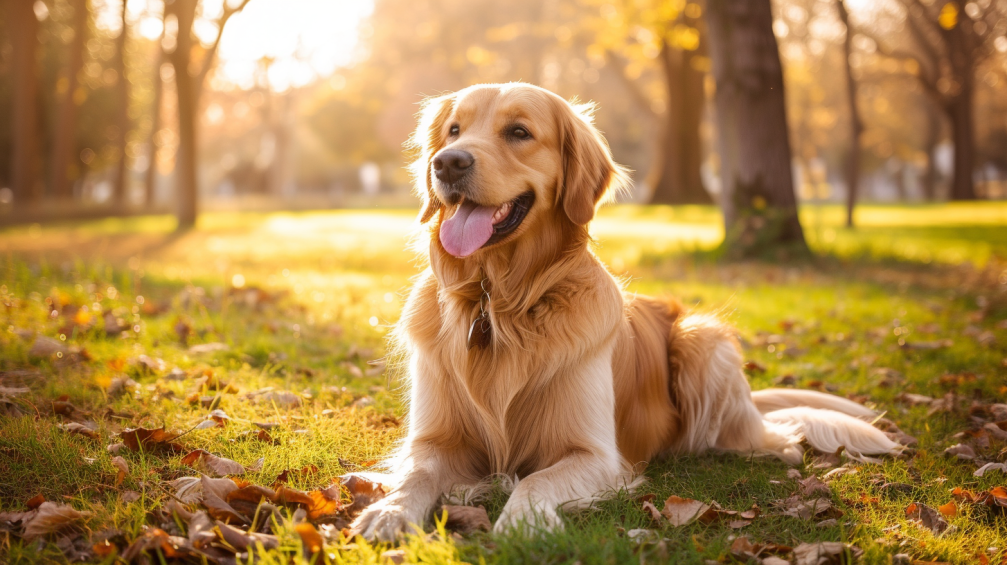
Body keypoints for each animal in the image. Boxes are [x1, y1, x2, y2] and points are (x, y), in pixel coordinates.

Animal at [350, 81, 902, 539]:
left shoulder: (598, 455)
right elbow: (417, 472)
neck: (499, 303)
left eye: (519, 132)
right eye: (454, 130)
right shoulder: (434, 438)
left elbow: (536, 480)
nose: (447, 163)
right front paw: (388, 511)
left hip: (704, 342)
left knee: (774, 436)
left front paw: (523, 520)